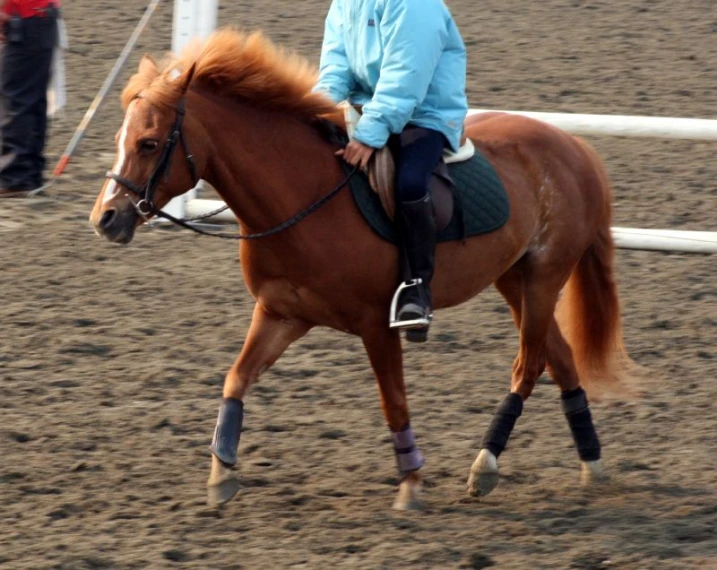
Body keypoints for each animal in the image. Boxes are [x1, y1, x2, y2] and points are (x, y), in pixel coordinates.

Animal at [91, 30, 632, 510]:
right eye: (120, 137)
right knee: (559, 358)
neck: (302, 196)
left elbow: (393, 400)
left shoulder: (377, 324)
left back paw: (486, 465)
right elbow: (235, 379)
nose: (105, 218)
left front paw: (411, 482)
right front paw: (222, 471)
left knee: (530, 363)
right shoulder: (281, 314)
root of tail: (575, 148)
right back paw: (592, 464)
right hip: (513, 278)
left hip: (544, 276)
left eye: (149, 143)